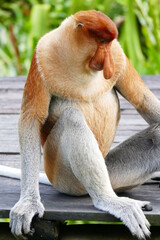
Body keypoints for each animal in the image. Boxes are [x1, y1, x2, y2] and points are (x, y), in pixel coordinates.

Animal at [9, 10, 160, 239]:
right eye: (101, 42)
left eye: (109, 43)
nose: (108, 65)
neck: (78, 62)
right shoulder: (41, 57)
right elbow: (31, 118)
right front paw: (28, 204)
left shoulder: (119, 56)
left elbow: (144, 100)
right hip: (63, 176)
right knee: (72, 119)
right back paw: (111, 201)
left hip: (112, 171)